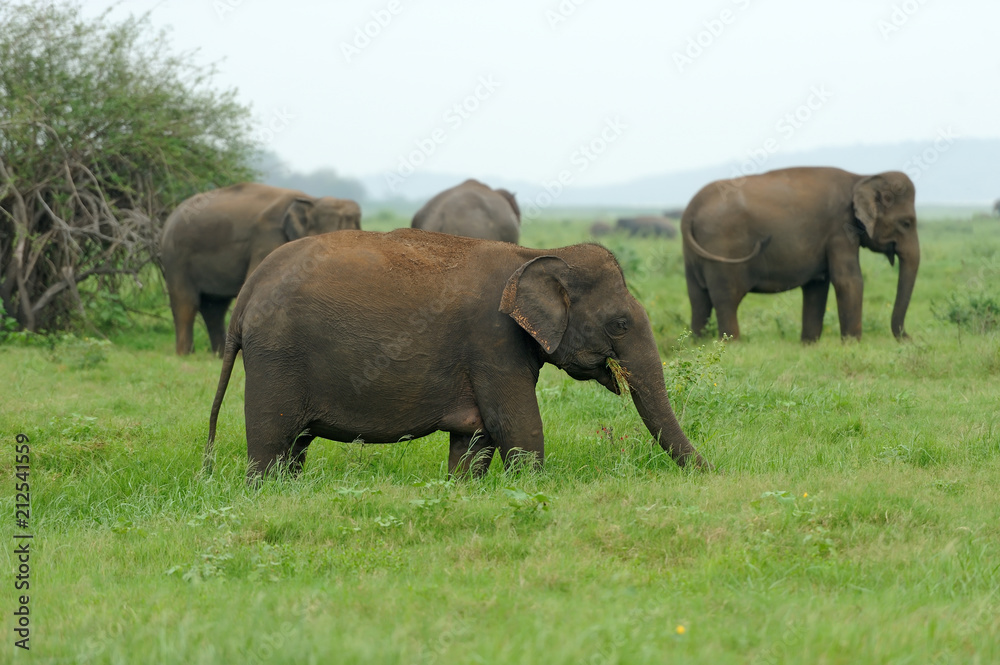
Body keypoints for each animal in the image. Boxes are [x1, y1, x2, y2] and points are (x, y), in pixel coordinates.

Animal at [164, 182, 364, 356]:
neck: (312, 200)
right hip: (176, 258)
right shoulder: (268, 237)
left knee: (215, 308)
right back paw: (185, 355)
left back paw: (218, 355)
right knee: (186, 302)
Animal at [205, 228, 712, 478]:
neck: (535, 252)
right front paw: (534, 489)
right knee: (272, 440)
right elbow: (517, 426)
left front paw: (459, 489)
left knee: (296, 445)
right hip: (278, 356)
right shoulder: (492, 341)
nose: (712, 473)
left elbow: (475, 437)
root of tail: (250, 290)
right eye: (620, 324)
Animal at [680, 166, 920, 342]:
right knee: (727, 299)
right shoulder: (840, 230)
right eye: (906, 223)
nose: (908, 338)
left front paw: (809, 344)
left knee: (698, 299)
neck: (861, 178)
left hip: (692, 257)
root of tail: (690, 209)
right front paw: (853, 344)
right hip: (722, 249)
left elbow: (817, 286)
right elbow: (849, 281)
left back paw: (699, 344)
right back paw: (732, 344)